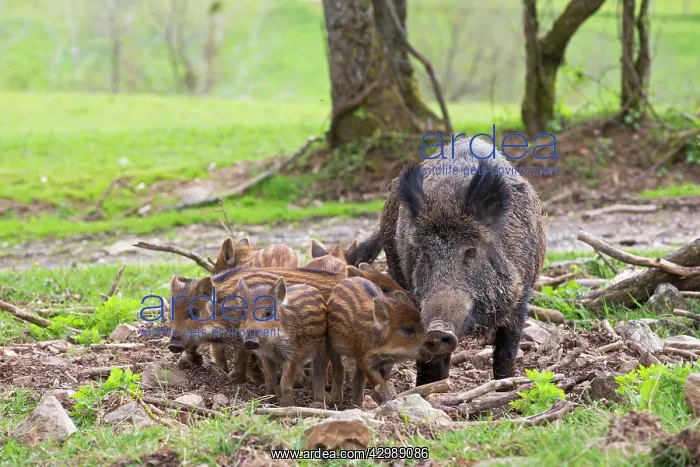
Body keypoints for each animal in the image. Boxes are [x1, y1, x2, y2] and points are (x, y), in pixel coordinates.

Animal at [236, 276, 327, 406]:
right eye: (242, 313)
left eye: (268, 313)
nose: (250, 341)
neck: (271, 344)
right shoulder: (265, 356)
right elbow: (269, 380)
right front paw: (268, 402)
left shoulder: (292, 352)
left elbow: (285, 382)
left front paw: (285, 406)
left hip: (323, 346)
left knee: (319, 373)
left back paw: (319, 401)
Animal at [326, 276, 425, 406]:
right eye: (409, 329)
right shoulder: (365, 358)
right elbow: (379, 383)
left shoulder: (387, 362)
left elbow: (383, 381)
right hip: (332, 345)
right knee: (339, 368)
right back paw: (334, 401)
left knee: (358, 378)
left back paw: (357, 404)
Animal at [345, 137, 546, 385]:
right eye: (425, 254)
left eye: (470, 251)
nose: (437, 330)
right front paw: (429, 388)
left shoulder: (521, 296)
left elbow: (506, 352)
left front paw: (505, 382)